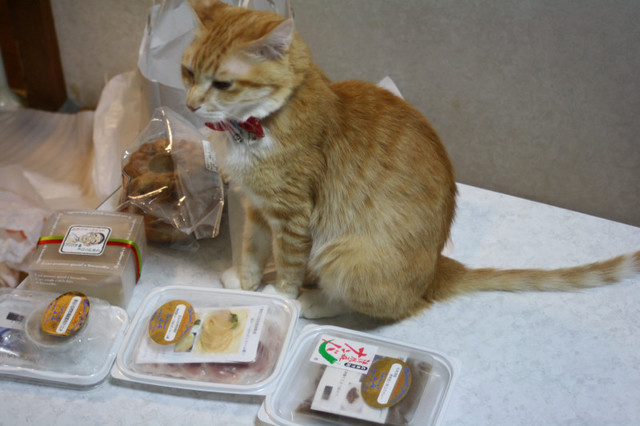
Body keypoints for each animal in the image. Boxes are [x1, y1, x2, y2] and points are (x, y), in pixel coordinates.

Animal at [181, 0, 640, 320]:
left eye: (223, 83)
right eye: (187, 72)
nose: (189, 104)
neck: (254, 127)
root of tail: (437, 269)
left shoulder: (292, 217)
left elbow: (289, 266)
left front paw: (281, 300)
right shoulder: (257, 206)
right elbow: (252, 249)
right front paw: (244, 282)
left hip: (342, 253)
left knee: (384, 305)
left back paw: (313, 303)